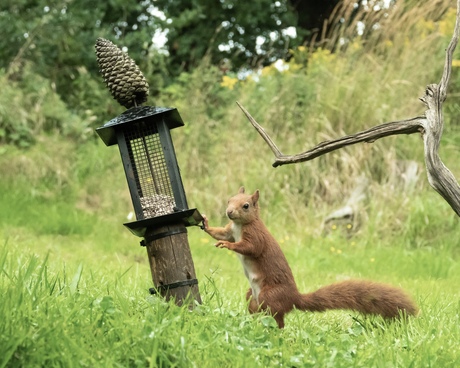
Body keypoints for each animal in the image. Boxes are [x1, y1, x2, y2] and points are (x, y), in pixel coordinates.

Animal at [201, 187, 416, 328]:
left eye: (246, 205)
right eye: (229, 200)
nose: (229, 212)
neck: (241, 225)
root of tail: (294, 298)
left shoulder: (256, 237)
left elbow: (249, 248)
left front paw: (229, 246)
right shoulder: (230, 230)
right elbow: (220, 233)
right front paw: (206, 223)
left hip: (269, 295)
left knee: (278, 319)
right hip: (251, 297)